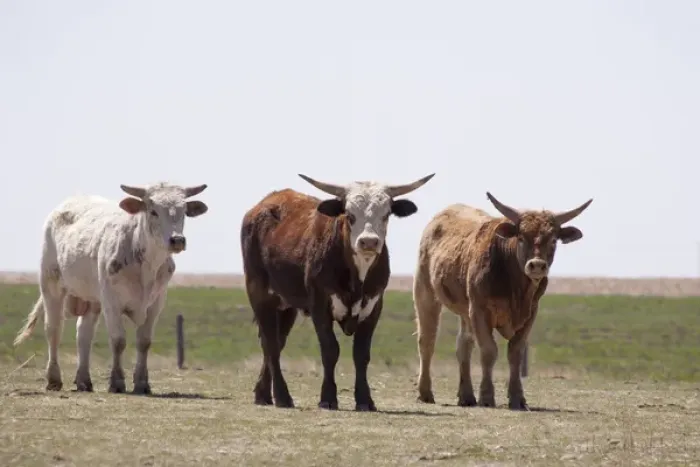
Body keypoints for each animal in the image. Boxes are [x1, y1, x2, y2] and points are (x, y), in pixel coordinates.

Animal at [13, 182, 209, 394]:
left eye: (183, 211)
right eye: (153, 211)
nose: (177, 240)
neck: (146, 265)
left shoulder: (155, 304)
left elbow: (144, 342)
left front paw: (142, 383)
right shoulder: (111, 302)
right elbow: (118, 340)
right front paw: (116, 382)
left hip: (92, 298)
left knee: (84, 334)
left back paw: (84, 380)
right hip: (51, 283)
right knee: (53, 329)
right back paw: (54, 379)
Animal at [240, 173, 434, 411]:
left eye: (386, 214)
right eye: (349, 215)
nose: (368, 242)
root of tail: (264, 205)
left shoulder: (373, 307)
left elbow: (361, 354)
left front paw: (365, 400)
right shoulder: (320, 306)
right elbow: (330, 350)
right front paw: (328, 397)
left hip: (285, 304)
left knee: (276, 342)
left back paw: (263, 394)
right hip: (259, 292)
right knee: (271, 343)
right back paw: (282, 396)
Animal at [413, 192, 592, 410]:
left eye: (553, 240)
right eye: (521, 237)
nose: (537, 265)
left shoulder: (530, 314)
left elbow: (515, 352)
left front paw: (517, 398)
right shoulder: (479, 310)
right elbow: (489, 351)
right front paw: (487, 396)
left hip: (464, 311)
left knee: (463, 345)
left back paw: (466, 396)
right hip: (425, 292)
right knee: (427, 341)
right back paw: (425, 392)